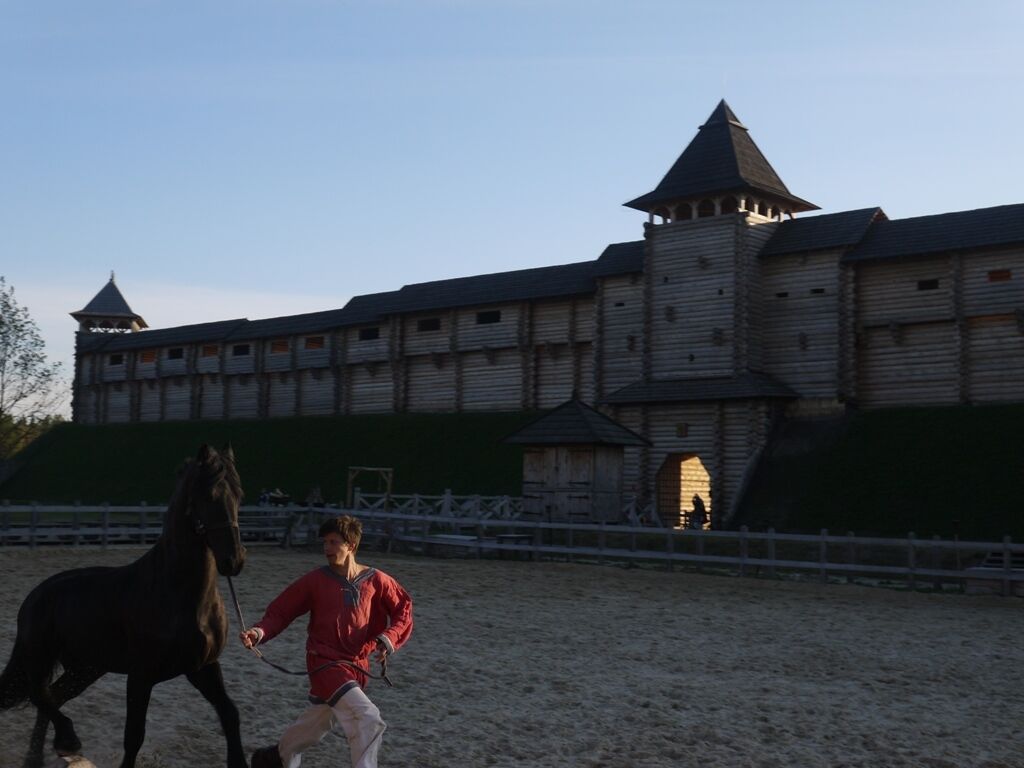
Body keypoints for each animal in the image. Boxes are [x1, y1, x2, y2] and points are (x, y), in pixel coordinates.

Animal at [0, 444, 247, 768]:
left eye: (239, 494)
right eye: (209, 495)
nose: (234, 561)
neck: (183, 597)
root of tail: (34, 597)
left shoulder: (203, 667)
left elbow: (230, 714)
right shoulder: (140, 676)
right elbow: (134, 736)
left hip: (86, 668)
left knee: (51, 698)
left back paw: (41, 756)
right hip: (42, 659)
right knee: (41, 696)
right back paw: (68, 740)